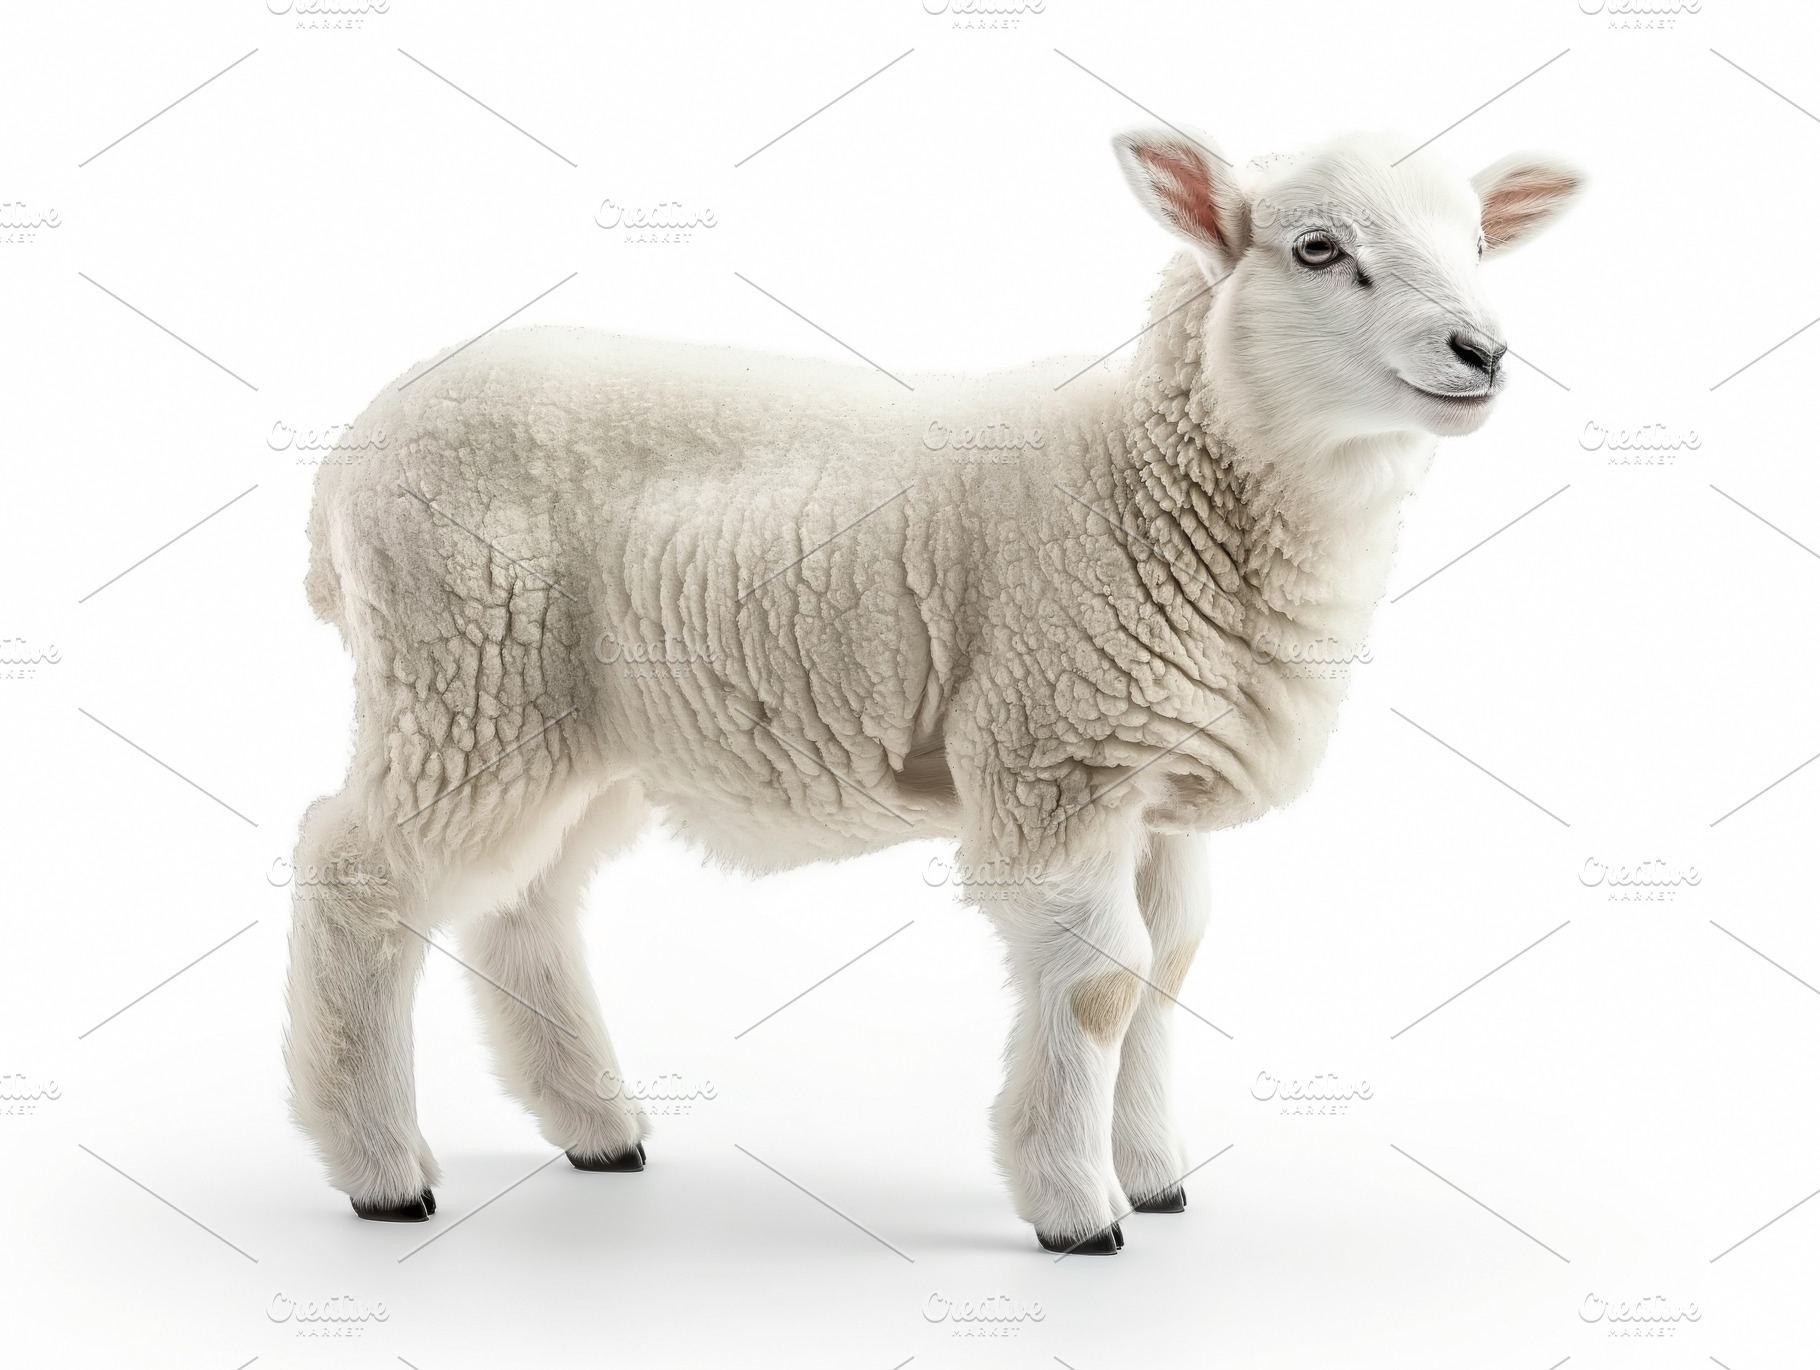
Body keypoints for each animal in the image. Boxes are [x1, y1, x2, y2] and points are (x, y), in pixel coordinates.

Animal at [287, 125, 1583, 1253]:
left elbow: (1167, 967)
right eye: (1316, 248)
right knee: (355, 876)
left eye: (1478, 241)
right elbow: (1100, 981)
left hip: (566, 724)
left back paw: (597, 1129)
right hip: (462, 676)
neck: (1149, 472)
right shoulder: (1056, 753)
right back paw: (381, 1168)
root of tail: (352, 456)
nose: (1481, 353)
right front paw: (1075, 1205)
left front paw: (1153, 1173)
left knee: (525, 905)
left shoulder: (1158, 783)